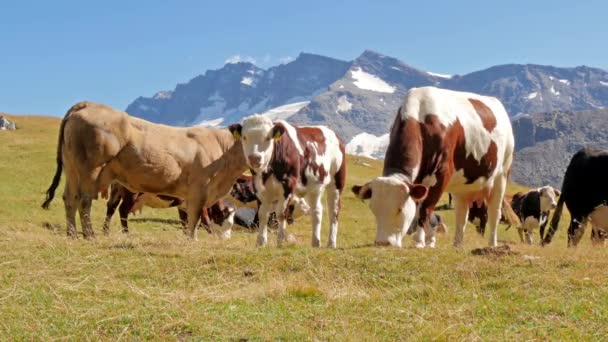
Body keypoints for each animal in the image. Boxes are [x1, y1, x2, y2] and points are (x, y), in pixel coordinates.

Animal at [102, 183, 235, 239]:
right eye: (228, 223)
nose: (228, 238)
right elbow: (204, 221)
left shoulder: (183, 206)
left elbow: (185, 222)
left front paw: (187, 236)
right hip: (131, 194)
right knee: (122, 210)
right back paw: (126, 233)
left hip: (116, 192)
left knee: (111, 207)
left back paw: (106, 231)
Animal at [229, 115, 346, 248]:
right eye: (244, 137)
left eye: (268, 137)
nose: (255, 158)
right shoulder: (259, 187)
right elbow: (262, 214)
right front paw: (261, 242)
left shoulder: (288, 185)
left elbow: (281, 213)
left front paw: (280, 240)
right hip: (314, 188)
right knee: (317, 210)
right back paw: (315, 242)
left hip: (337, 182)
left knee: (334, 211)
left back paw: (331, 243)